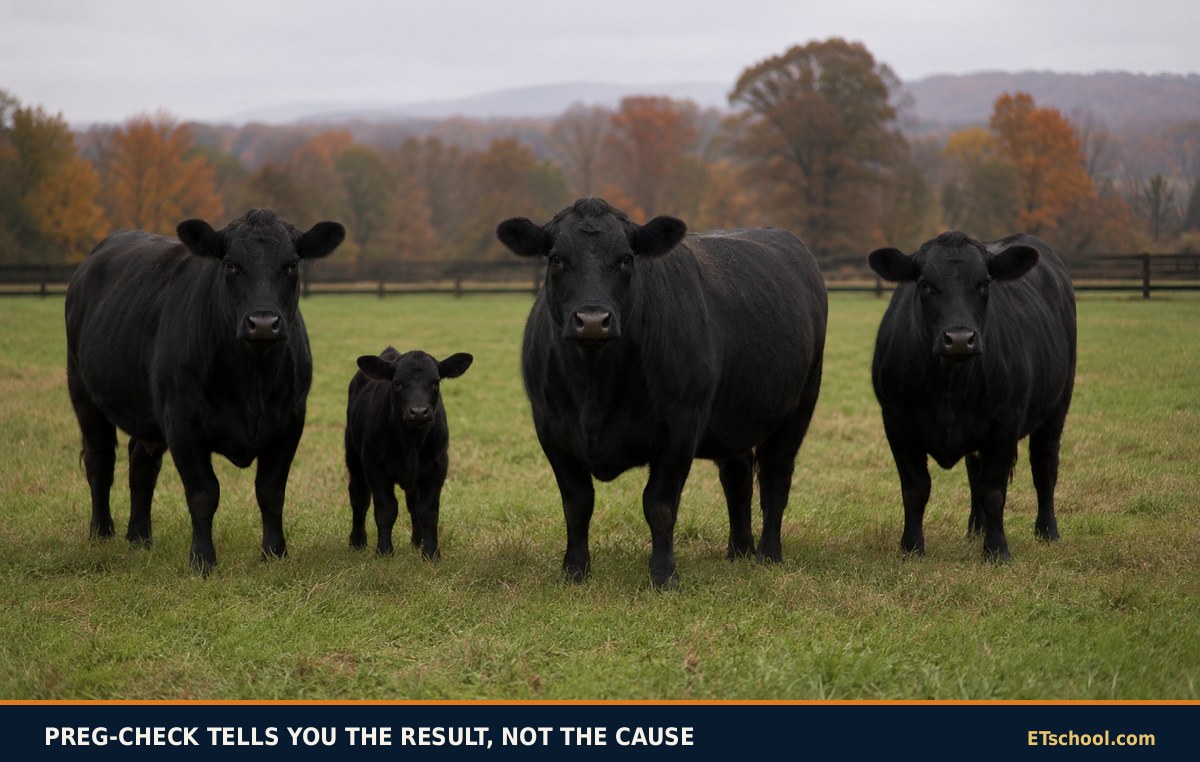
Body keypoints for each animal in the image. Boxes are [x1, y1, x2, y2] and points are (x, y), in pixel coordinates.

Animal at [65, 209, 345, 573]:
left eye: (292, 264)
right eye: (230, 263)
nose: (264, 323)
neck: (251, 379)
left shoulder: (290, 421)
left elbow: (271, 492)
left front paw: (274, 553)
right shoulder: (182, 422)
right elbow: (203, 494)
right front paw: (202, 560)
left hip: (148, 414)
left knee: (141, 465)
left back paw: (140, 537)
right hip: (84, 393)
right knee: (100, 461)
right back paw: (101, 532)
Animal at [344, 347, 473, 559]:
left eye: (435, 381)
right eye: (397, 382)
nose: (419, 411)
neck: (411, 443)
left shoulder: (437, 467)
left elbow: (427, 511)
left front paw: (431, 553)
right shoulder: (375, 467)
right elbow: (386, 509)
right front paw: (384, 551)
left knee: (413, 504)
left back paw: (417, 541)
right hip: (353, 457)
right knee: (359, 497)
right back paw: (357, 541)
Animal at [497, 198, 827, 589]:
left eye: (626, 258)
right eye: (557, 258)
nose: (592, 321)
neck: (595, 388)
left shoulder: (681, 428)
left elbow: (659, 504)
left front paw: (663, 575)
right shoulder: (551, 428)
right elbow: (577, 503)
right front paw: (574, 571)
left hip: (799, 404)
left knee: (775, 476)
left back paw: (768, 555)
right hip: (733, 418)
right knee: (738, 477)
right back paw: (739, 550)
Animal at [868, 231, 1076, 562]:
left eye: (984, 283)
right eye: (924, 283)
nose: (959, 339)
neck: (948, 387)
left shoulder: (1005, 424)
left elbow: (993, 491)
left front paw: (997, 549)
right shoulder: (897, 423)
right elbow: (915, 489)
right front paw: (911, 547)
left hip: (1057, 404)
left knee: (1044, 465)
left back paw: (1047, 531)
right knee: (974, 470)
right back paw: (975, 529)